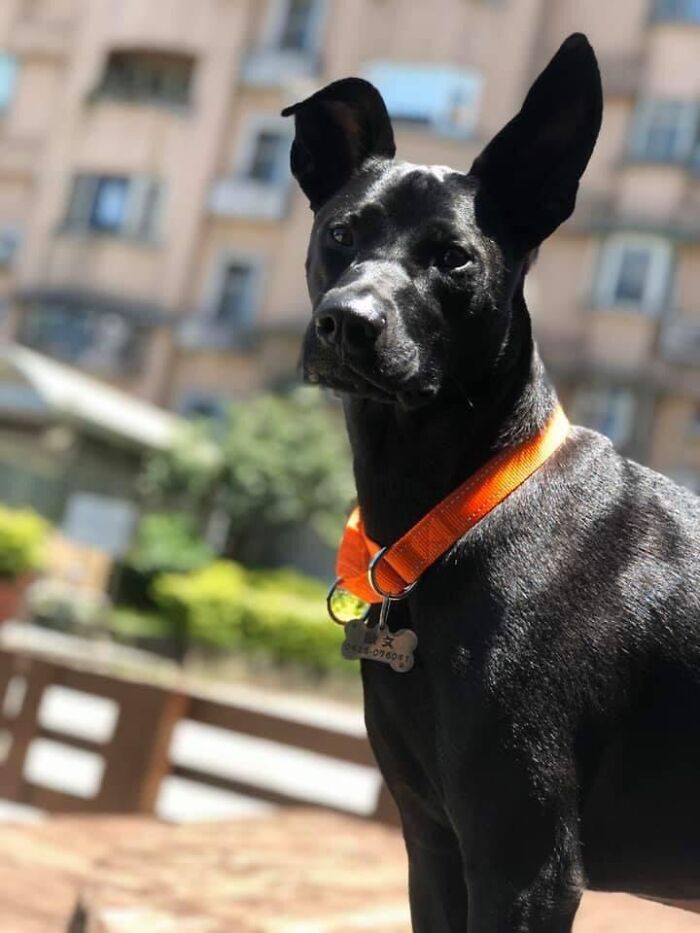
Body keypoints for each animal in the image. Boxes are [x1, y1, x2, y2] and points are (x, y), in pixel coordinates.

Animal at [284, 32, 700, 928]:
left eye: (453, 258)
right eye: (341, 233)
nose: (347, 322)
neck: (458, 512)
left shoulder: (524, 859)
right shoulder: (432, 842)